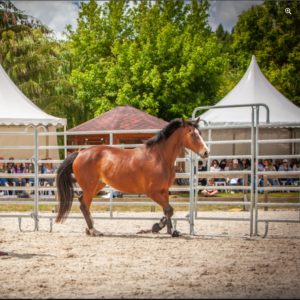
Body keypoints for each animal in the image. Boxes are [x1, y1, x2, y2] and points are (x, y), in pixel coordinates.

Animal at [55, 117, 209, 237]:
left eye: (200, 133)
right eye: (192, 134)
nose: (206, 152)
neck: (159, 157)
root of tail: (80, 153)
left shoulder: (164, 191)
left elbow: (168, 210)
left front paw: (171, 231)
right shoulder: (152, 192)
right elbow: (169, 210)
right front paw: (157, 227)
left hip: (97, 185)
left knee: (84, 203)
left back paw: (90, 228)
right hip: (90, 186)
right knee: (83, 205)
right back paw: (93, 230)